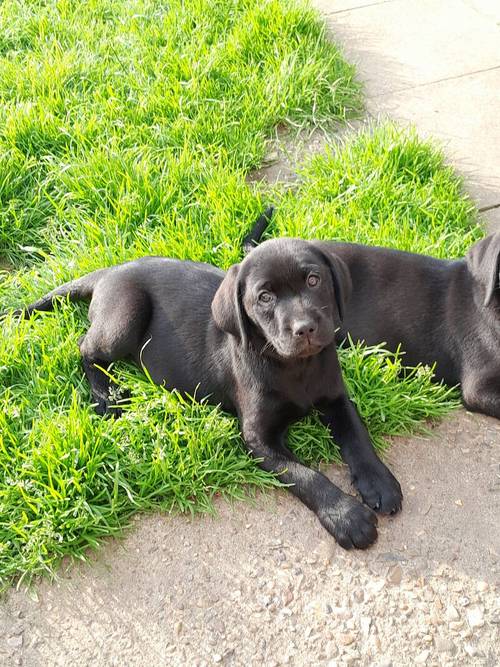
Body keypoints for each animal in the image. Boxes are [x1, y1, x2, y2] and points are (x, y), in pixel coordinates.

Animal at [18, 237, 402, 552]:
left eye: (313, 280)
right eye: (265, 298)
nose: (305, 328)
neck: (296, 367)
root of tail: (111, 271)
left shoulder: (336, 398)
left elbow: (357, 436)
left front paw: (379, 482)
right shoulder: (258, 438)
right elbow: (306, 475)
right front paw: (347, 516)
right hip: (124, 317)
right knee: (84, 347)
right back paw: (107, 395)